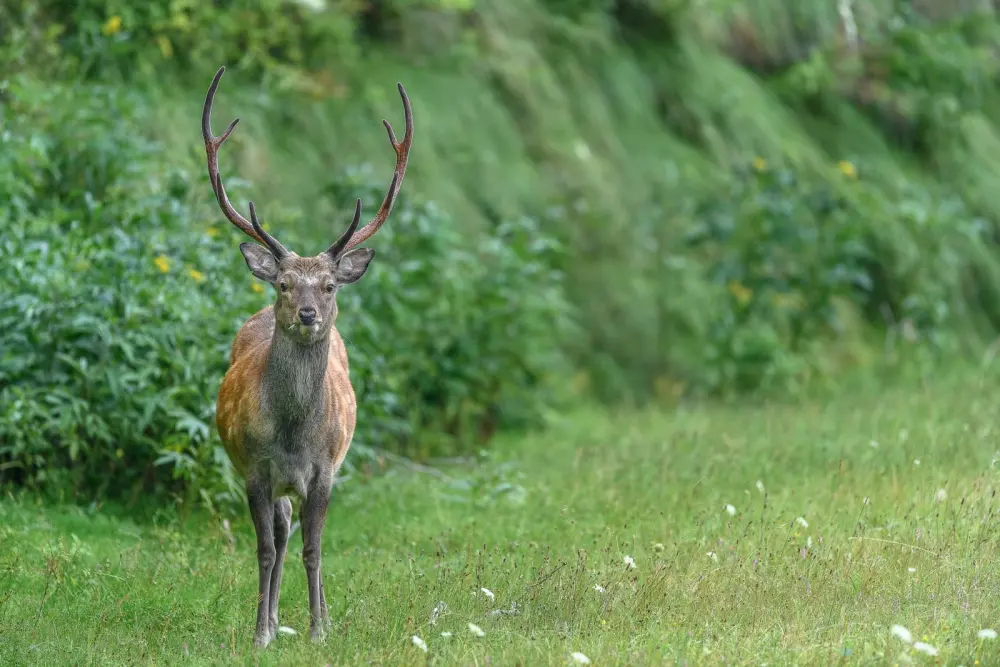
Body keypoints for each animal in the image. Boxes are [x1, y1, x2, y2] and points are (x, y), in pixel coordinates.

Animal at [201, 66, 413, 648]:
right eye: (285, 284)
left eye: (329, 285)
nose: (308, 313)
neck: (294, 434)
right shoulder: (254, 468)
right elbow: (264, 550)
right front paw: (260, 634)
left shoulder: (324, 473)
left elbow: (315, 551)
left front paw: (320, 630)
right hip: (272, 482)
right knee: (279, 535)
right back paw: (273, 619)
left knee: (295, 535)